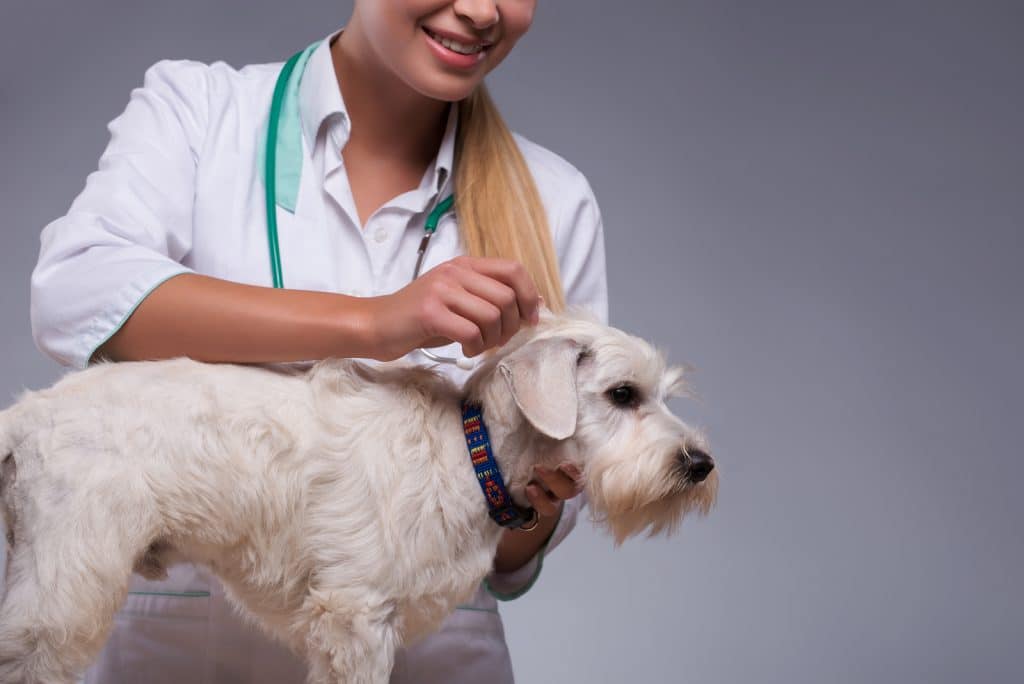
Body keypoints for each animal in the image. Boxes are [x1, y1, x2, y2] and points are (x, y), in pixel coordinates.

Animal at [0, 313, 716, 684]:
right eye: (622, 393)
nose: (700, 464)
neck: (467, 450)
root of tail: (29, 415)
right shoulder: (358, 620)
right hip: (61, 597)